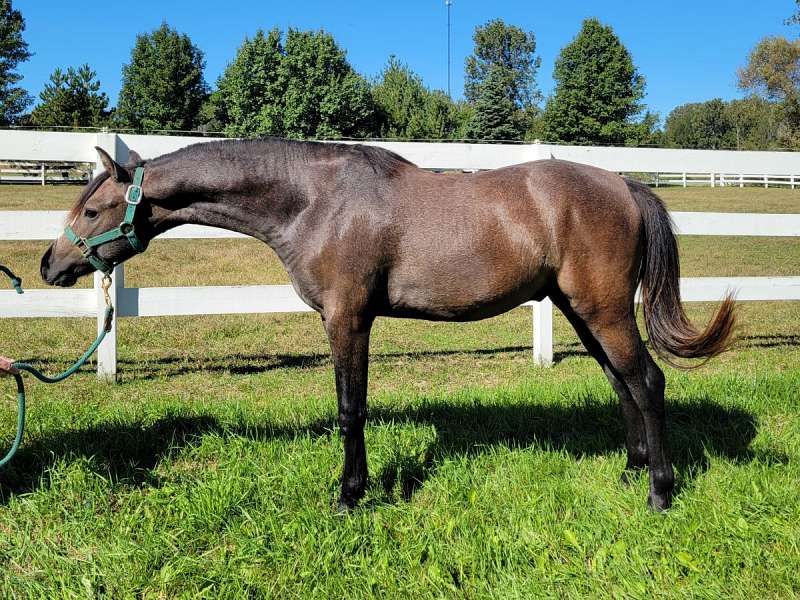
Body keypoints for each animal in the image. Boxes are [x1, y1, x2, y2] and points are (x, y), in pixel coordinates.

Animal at [40, 138, 736, 511]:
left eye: (94, 209)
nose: (50, 264)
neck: (314, 202)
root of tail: (625, 185)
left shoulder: (348, 319)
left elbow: (351, 410)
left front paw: (350, 495)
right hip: (579, 310)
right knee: (623, 385)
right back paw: (630, 472)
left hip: (603, 309)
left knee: (647, 383)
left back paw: (659, 491)